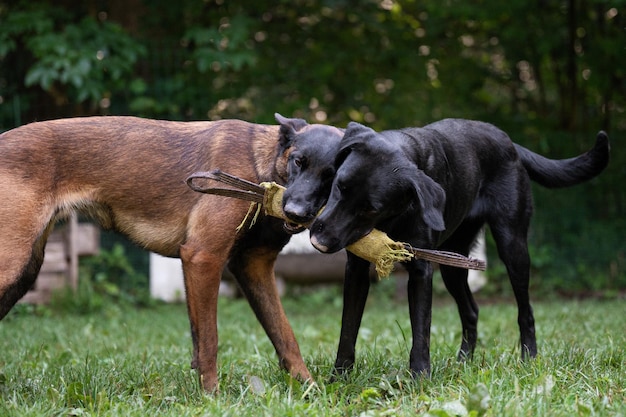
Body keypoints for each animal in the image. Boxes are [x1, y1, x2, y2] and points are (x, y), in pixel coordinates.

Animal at [0, 113, 342, 390]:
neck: (260, 166)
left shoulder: (254, 267)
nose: (295, 212)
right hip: (12, 265)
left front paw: (310, 390)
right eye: (298, 161)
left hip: (25, 270)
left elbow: (285, 335)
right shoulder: (203, 257)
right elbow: (209, 340)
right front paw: (212, 397)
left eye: (333, 176)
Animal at [294, 118, 608, 376]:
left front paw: (419, 379)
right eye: (339, 186)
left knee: (525, 310)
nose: (319, 240)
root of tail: (508, 142)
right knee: (471, 311)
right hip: (453, 264)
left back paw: (529, 358)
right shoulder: (357, 269)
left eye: (371, 209)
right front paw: (339, 378)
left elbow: (421, 331)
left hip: (513, 246)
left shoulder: (421, 271)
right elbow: (348, 329)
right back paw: (463, 362)